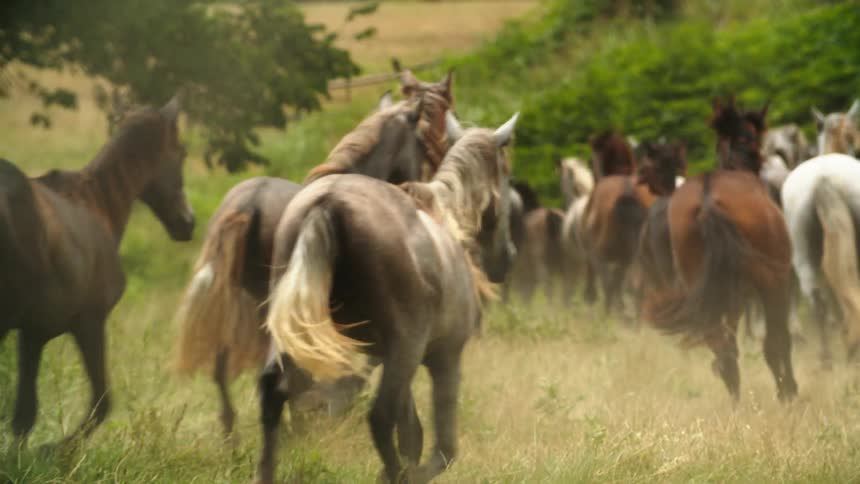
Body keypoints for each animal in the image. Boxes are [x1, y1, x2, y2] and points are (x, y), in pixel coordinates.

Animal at [0, 97, 194, 443]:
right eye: (182, 152)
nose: (188, 222)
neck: (97, 205)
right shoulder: (89, 322)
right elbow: (101, 402)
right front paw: (54, 448)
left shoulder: (33, 333)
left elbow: (24, 415)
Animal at [255, 112, 519, 484]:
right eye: (507, 174)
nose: (506, 258)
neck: (444, 218)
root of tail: (327, 204)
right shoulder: (442, 357)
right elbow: (441, 449)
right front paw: (410, 473)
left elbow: (411, 435)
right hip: (402, 353)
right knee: (379, 417)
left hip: (294, 339)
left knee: (273, 394)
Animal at [643, 96, 797, 402]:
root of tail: (708, 203)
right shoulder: (777, 279)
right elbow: (779, 338)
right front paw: (790, 390)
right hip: (769, 279)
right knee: (771, 343)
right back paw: (784, 394)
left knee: (724, 349)